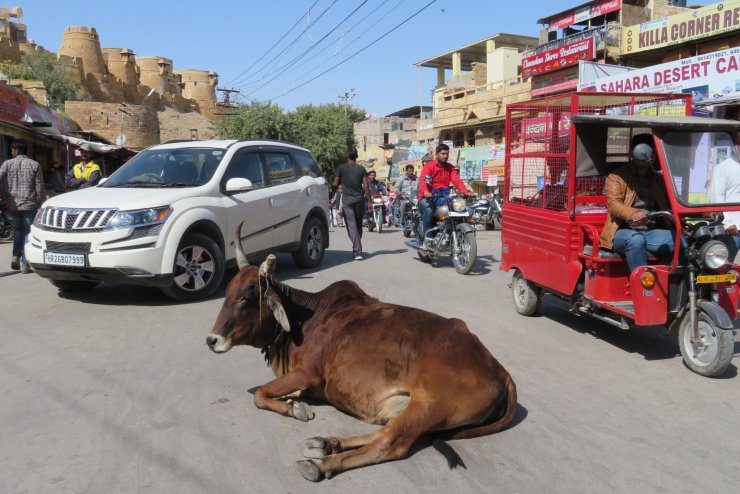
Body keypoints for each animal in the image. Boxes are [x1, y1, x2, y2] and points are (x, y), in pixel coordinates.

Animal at [206, 226, 517, 481]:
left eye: (246, 298)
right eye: (227, 294)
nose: (211, 340)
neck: (304, 319)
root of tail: (499, 370)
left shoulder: (307, 372)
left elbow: (259, 395)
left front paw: (294, 409)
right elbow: (268, 393)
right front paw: (294, 405)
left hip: (428, 405)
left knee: (391, 442)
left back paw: (322, 463)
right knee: (382, 431)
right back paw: (326, 443)